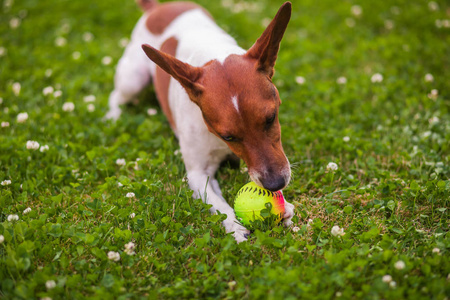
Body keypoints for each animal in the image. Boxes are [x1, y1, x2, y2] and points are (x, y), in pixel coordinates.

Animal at [105, 0, 296, 241]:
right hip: (133, 79)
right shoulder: (198, 174)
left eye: (271, 118)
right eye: (228, 136)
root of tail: (156, 8)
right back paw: (113, 117)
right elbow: (217, 203)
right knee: (116, 96)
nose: (275, 184)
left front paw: (284, 206)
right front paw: (234, 225)